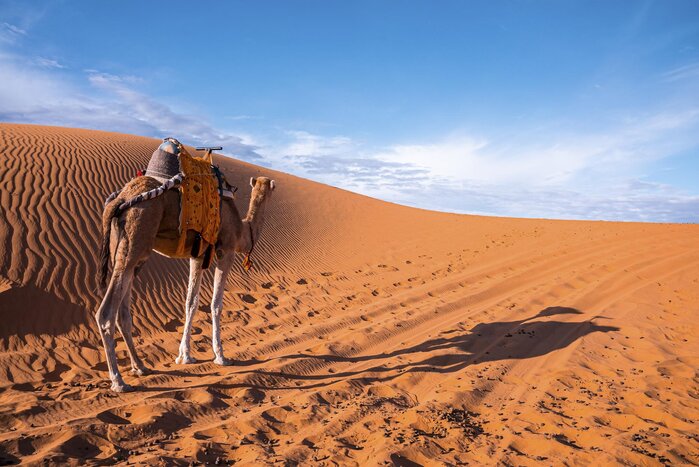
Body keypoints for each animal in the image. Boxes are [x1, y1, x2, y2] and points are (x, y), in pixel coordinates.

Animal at [96, 174, 275, 392]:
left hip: (125, 252)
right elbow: (216, 304)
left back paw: (140, 367)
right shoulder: (227, 250)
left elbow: (191, 302)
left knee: (123, 313)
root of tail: (121, 198)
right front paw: (221, 356)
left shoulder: (197, 256)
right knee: (106, 313)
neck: (243, 230)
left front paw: (184, 356)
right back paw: (118, 381)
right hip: (136, 238)